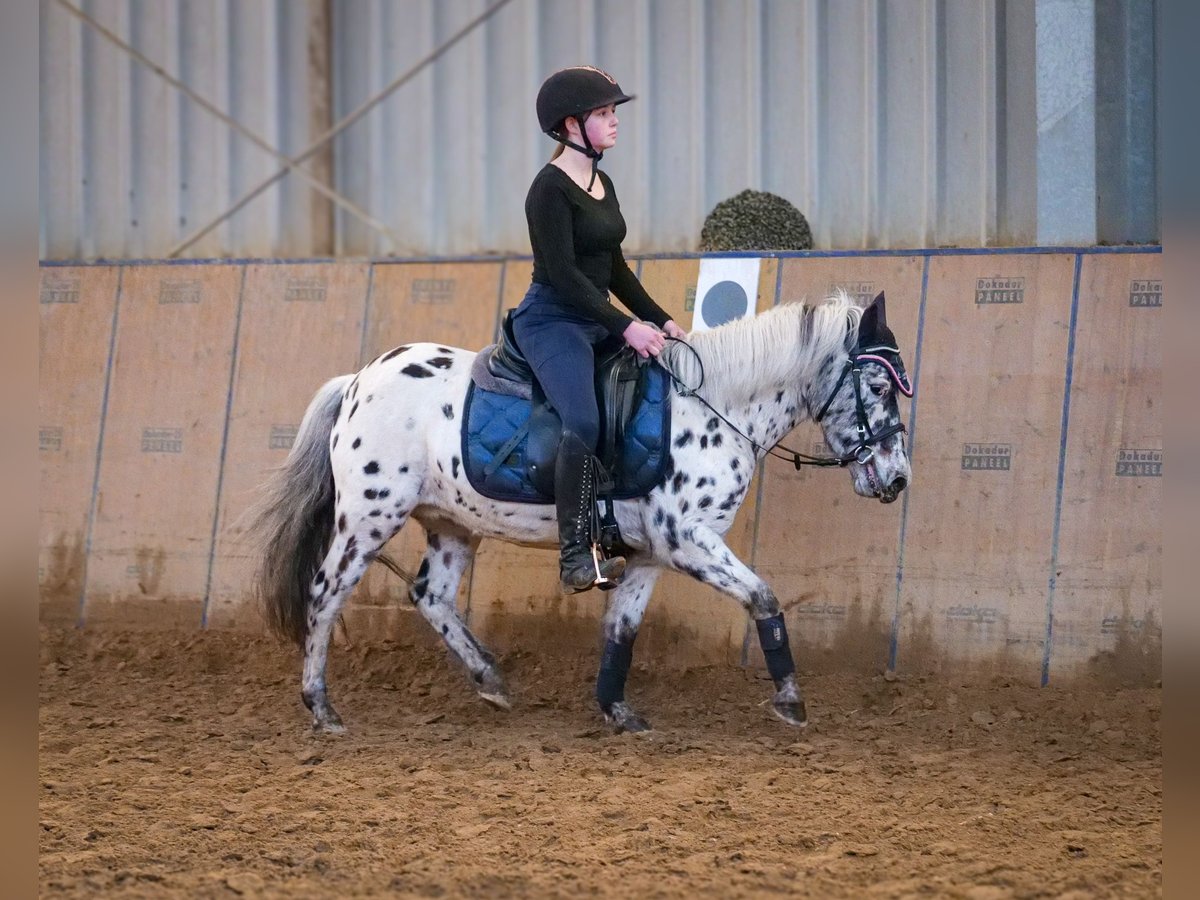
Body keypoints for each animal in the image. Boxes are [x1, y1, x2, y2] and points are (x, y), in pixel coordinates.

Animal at [248, 292, 912, 734]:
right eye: (879, 389)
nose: (898, 478)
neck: (713, 405)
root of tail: (359, 379)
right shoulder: (688, 540)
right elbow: (764, 598)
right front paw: (792, 701)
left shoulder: (653, 554)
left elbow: (622, 628)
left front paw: (618, 711)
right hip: (368, 517)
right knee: (325, 593)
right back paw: (322, 708)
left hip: (451, 522)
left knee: (431, 597)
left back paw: (491, 682)